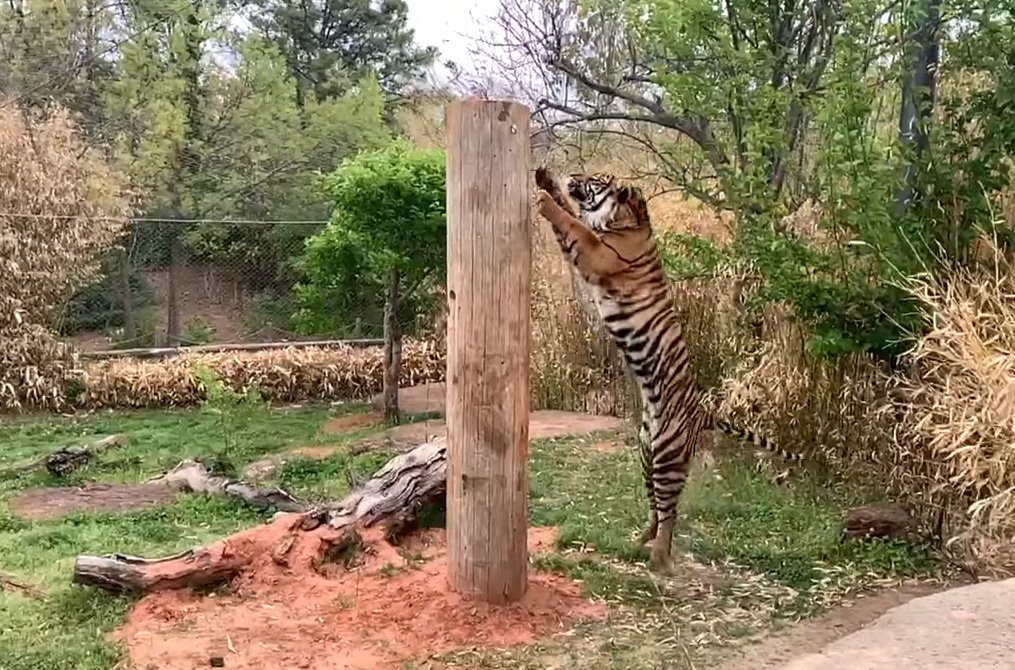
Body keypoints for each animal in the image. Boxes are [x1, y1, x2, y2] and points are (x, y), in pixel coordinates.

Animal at [531, 166, 799, 572]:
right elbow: (571, 212)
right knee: (657, 507)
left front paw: (547, 200)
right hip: (646, 452)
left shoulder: (596, 251)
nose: (574, 173)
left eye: (595, 178)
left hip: (668, 456)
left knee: (671, 510)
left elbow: (571, 222)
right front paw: (546, 180)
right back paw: (640, 540)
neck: (626, 221)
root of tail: (703, 413)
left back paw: (657, 557)